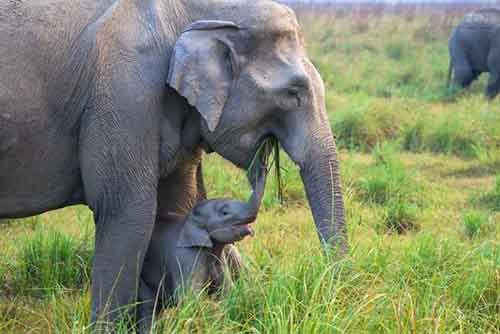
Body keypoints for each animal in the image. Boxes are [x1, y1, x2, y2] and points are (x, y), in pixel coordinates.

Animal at [139, 164, 268, 326]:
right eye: (224, 213)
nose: (263, 167)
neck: (191, 219)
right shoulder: (186, 257)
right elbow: (190, 299)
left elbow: (227, 292)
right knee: (148, 305)